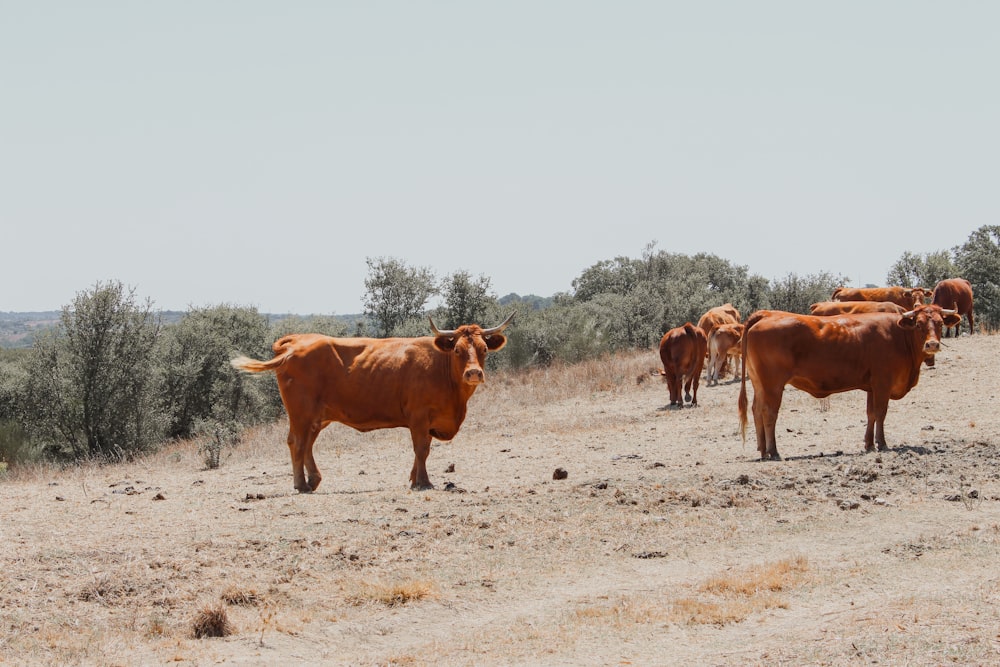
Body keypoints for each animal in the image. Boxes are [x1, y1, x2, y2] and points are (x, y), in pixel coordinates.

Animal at [232, 312, 516, 490]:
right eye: (457, 350)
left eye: (484, 349)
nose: (473, 373)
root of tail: (296, 341)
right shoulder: (419, 416)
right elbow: (421, 449)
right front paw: (423, 482)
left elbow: (422, 450)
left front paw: (414, 477)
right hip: (300, 412)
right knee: (297, 442)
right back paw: (300, 484)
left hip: (317, 416)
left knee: (308, 444)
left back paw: (313, 480)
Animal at [736, 306, 960, 460]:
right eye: (919, 324)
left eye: (940, 323)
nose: (932, 344)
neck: (899, 336)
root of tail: (767, 314)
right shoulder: (883, 383)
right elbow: (881, 413)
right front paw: (881, 443)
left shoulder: (871, 386)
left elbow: (871, 414)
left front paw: (869, 444)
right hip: (773, 385)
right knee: (768, 413)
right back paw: (773, 451)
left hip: (760, 384)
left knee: (756, 410)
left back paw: (763, 450)